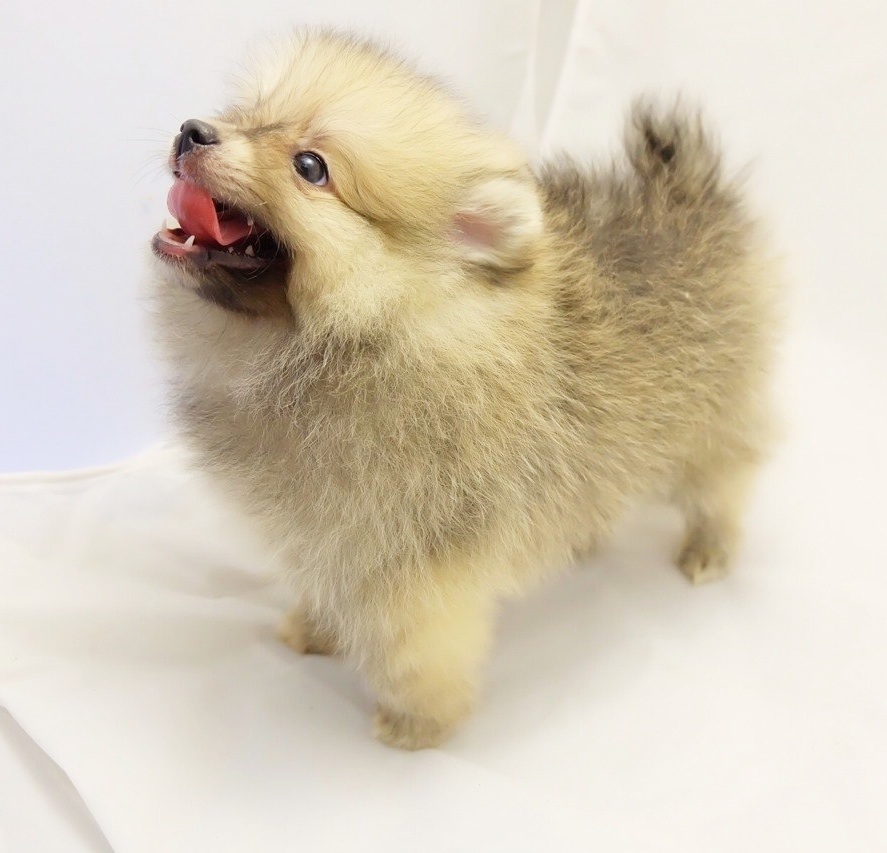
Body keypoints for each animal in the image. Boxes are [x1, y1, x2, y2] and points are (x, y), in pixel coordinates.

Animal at [150, 30, 779, 749]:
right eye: (247, 116)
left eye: (310, 166)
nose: (194, 131)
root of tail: (687, 192)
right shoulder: (328, 529)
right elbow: (327, 583)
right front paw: (317, 627)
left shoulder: (418, 558)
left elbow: (417, 648)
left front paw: (415, 722)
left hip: (713, 412)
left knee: (723, 480)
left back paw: (709, 548)